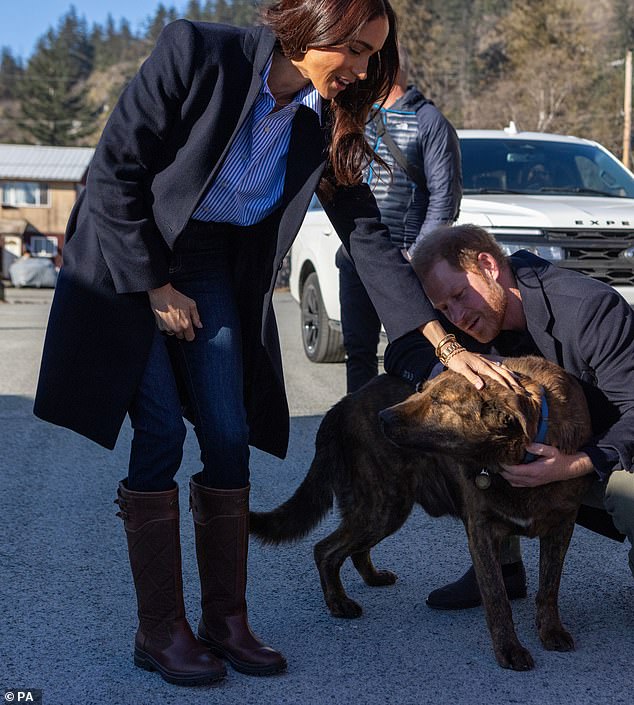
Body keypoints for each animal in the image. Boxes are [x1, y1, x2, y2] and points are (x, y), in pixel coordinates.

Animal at [251, 354, 592, 668]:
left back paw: (372, 577)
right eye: (421, 388)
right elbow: (497, 597)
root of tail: (343, 404)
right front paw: (509, 649)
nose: (382, 417)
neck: (513, 455)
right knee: (325, 549)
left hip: (386, 508)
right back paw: (339, 602)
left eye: (438, 401)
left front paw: (550, 630)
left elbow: (549, 587)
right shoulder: (482, 530)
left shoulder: (561, 526)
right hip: (383, 506)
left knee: (351, 548)